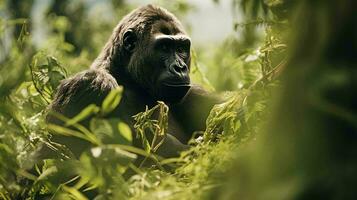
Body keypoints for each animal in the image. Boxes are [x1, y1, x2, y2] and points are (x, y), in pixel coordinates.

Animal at [46, 4, 220, 159]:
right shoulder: (91, 83)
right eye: (164, 47)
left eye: (181, 48)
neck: (130, 82)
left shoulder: (194, 93)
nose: (180, 67)